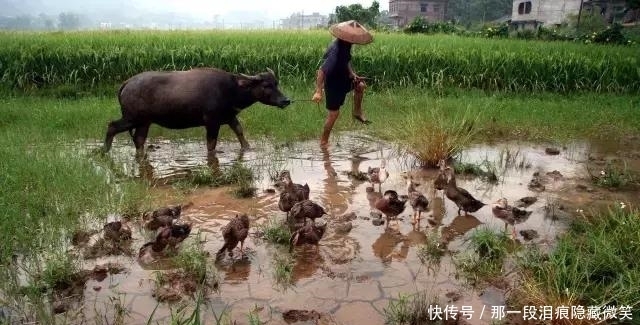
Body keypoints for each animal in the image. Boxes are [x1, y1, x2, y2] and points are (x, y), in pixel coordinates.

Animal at [103, 67, 292, 156]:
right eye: (266, 85)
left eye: (276, 83)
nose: (286, 100)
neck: (231, 89)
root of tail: (127, 83)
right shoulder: (212, 122)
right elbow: (211, 144)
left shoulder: (229, 117)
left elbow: (240, 132)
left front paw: (248, 149)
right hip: (132, 118)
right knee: (112, 126)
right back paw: (104, 151)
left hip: (144, 122)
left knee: (139, 140)